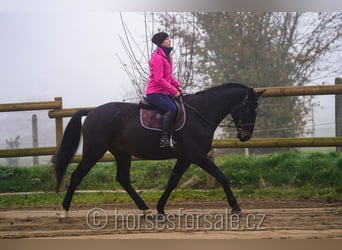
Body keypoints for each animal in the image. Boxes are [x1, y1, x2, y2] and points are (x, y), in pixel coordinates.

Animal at [55, 82, 264, 217]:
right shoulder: (197, 155)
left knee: (123, 179)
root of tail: (92, 112)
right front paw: (235, 207)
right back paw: (64, 210)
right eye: (248, 107)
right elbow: (221, 175)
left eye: (256, 109)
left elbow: (173, 181)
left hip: (122, 153)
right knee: (76, 175)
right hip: (94, 151)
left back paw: (145, 209)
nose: (245, 135)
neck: (200, 114)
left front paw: (161, 208)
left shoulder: (186, 157)